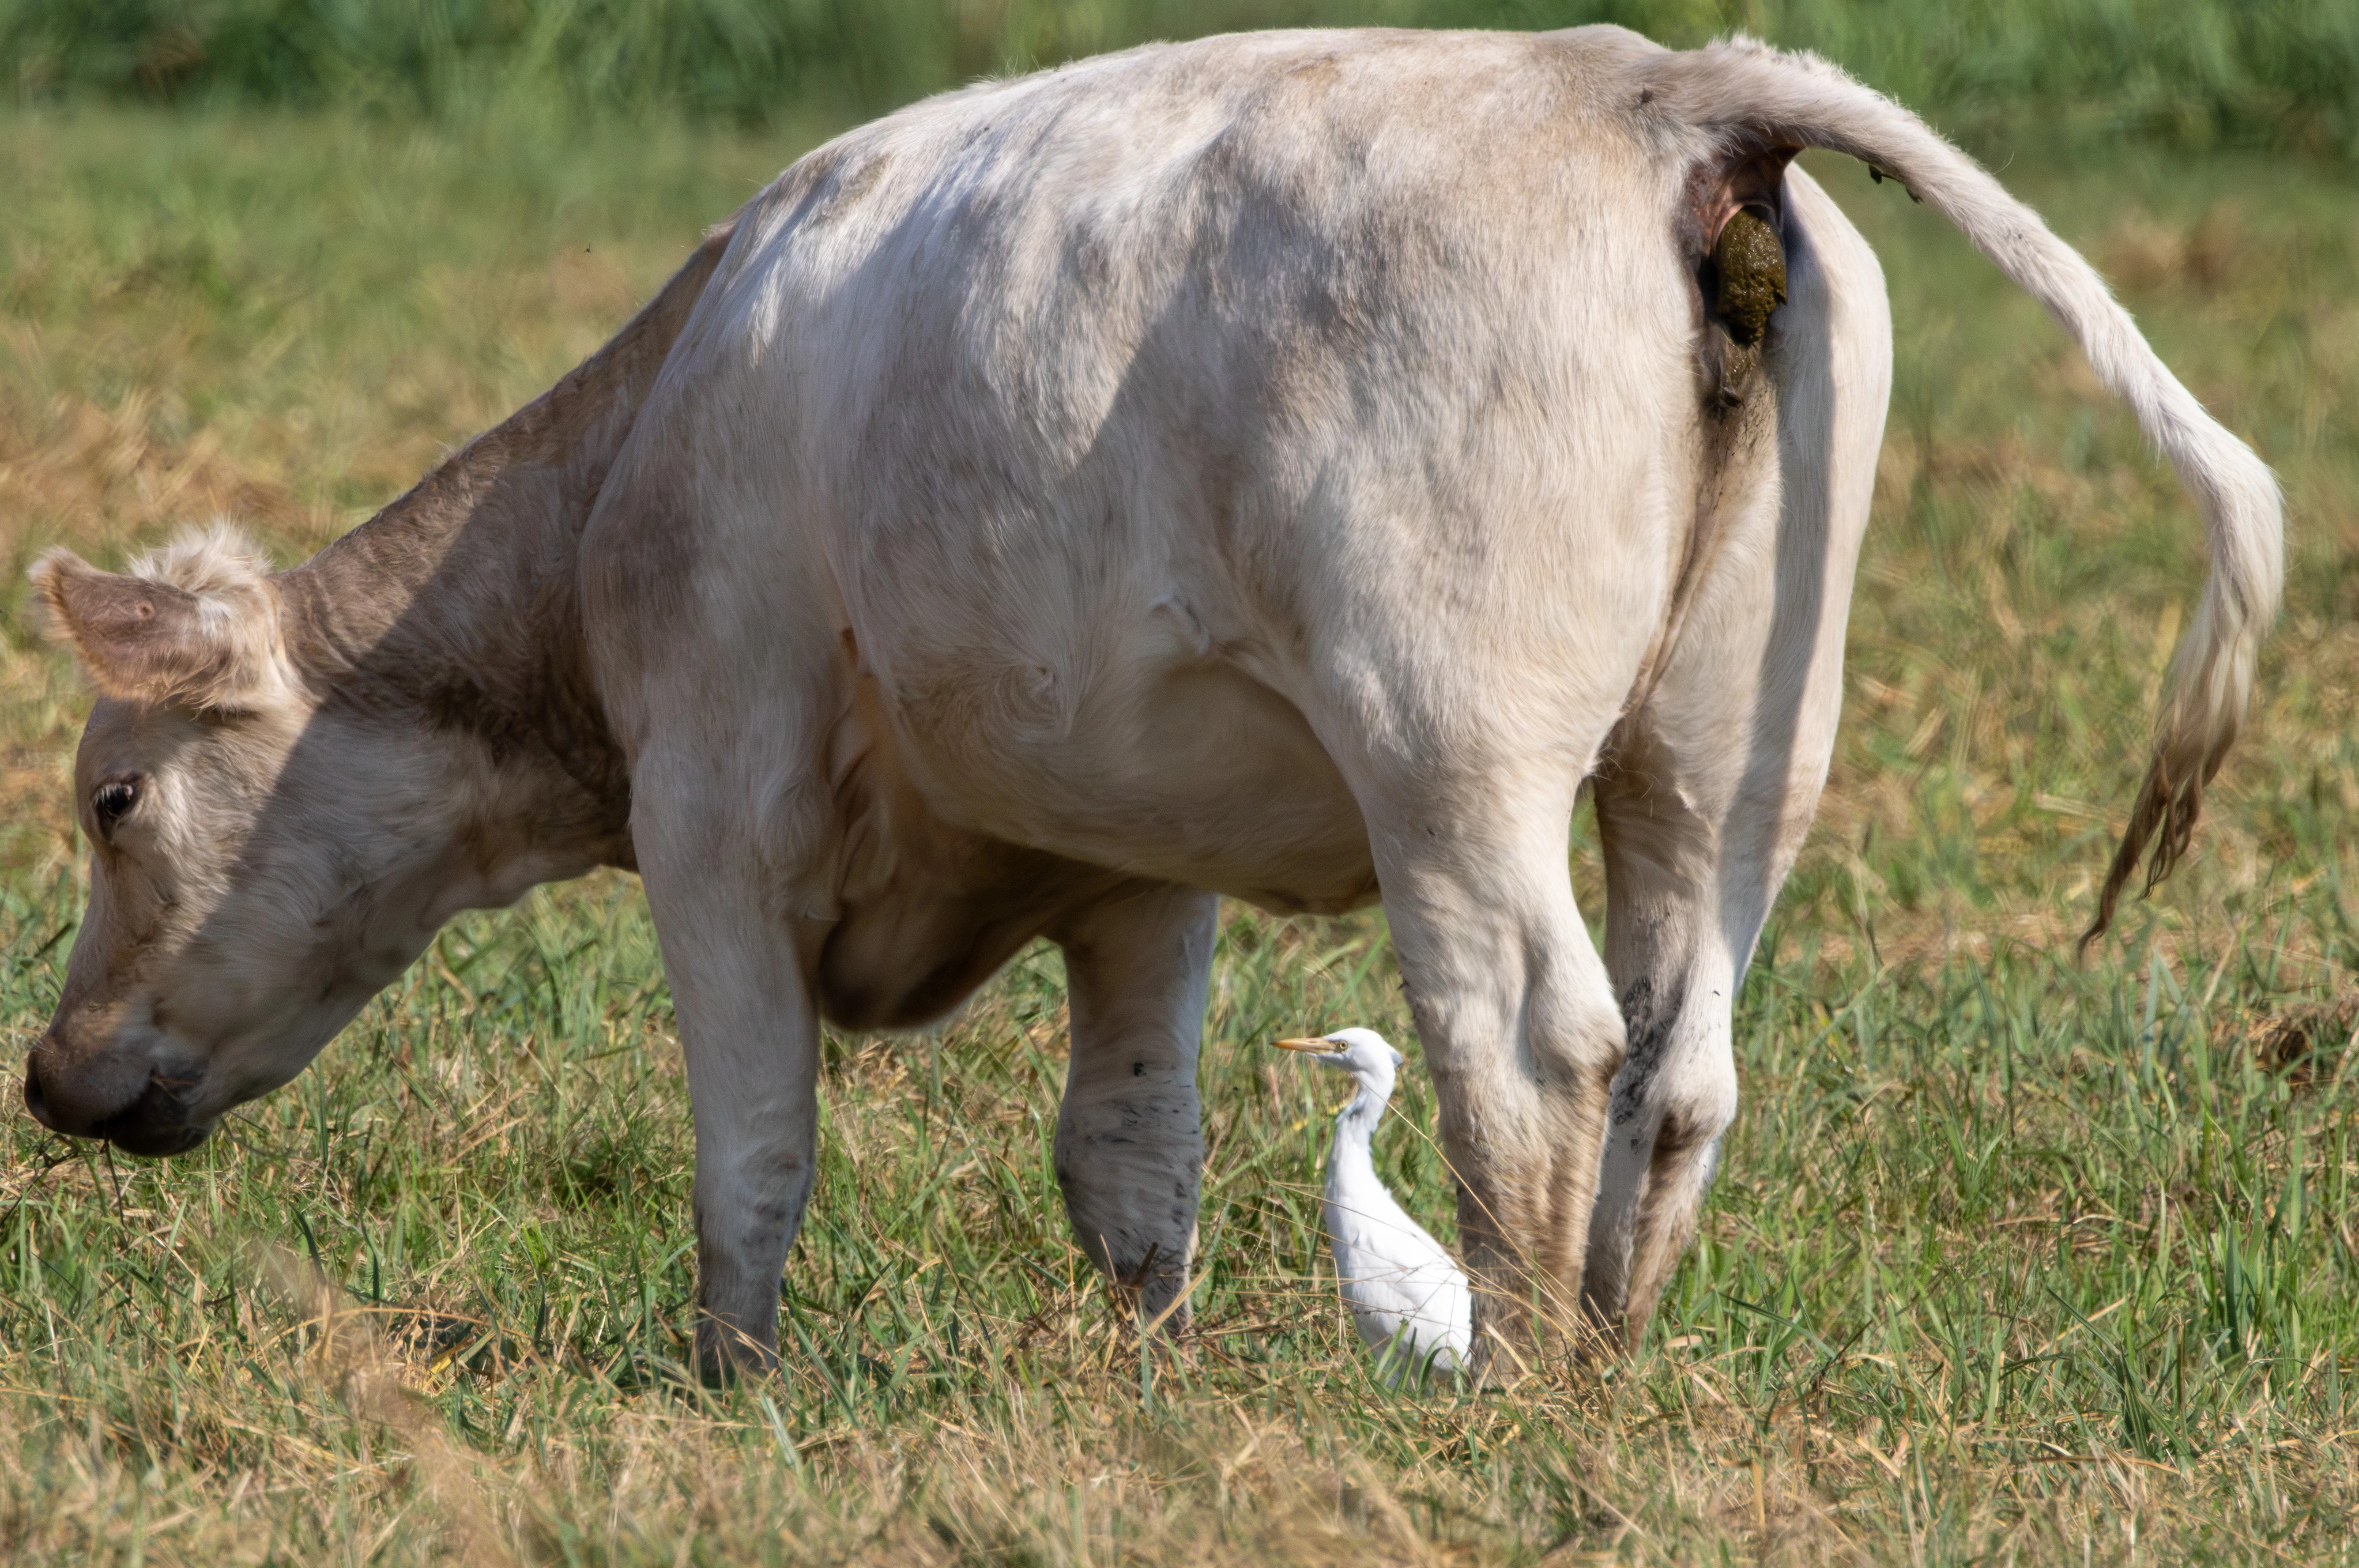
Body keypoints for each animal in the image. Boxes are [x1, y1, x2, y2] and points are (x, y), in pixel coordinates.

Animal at [23, 28, 2279, 1376]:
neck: (636, 459)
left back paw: (1516, 1384)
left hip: (1449, 748)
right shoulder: (1134, 852)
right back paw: (1608, 1359)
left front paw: (731, 1384)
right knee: (1683, 1060)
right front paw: (1150, 1381)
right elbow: (1129, 1156)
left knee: (1533, 1043)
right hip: (1730, 757)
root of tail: (1661, 84)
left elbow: (751, 1140)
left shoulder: (711, 811)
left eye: (111, 801)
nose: (48, 1075)